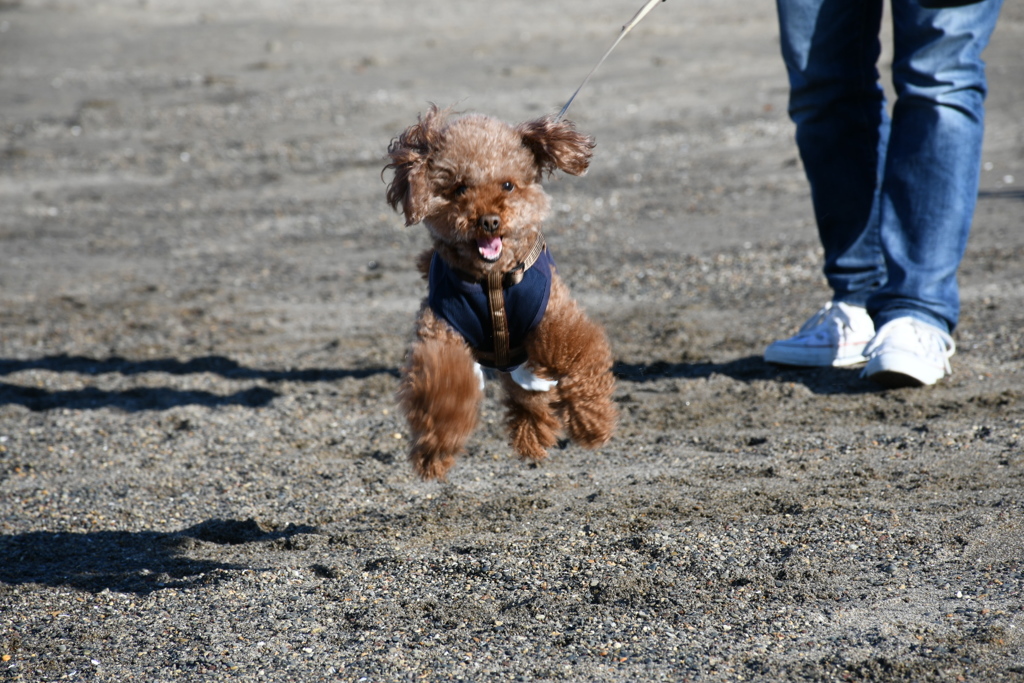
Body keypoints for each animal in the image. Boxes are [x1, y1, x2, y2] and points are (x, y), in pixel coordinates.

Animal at [385, 107, 614, 481]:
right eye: (460, 188)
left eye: (508, 184)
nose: (488, 221)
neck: (492, 280)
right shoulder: (442, 334)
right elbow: (445, 389)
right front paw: (434, 451)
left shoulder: (554, 318)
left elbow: (576, 355)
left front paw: (593, 424)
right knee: (526, 398)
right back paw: (531, 436)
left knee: (533, 394)